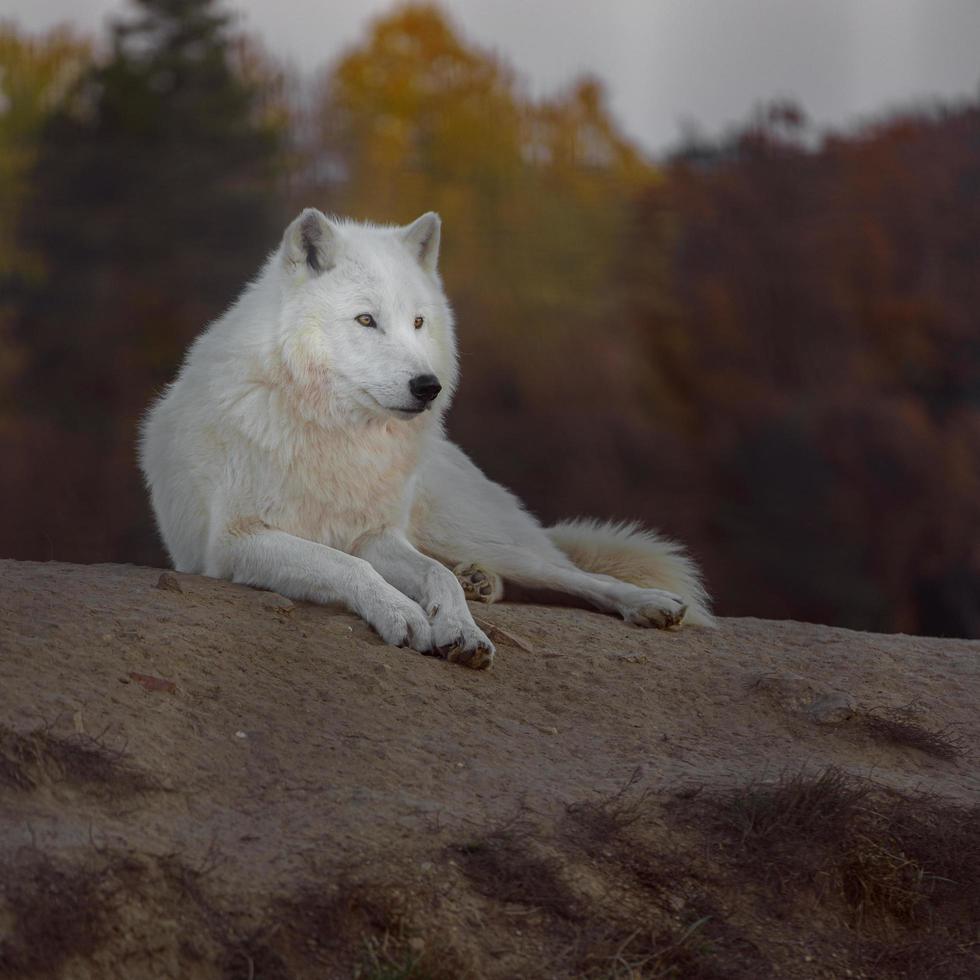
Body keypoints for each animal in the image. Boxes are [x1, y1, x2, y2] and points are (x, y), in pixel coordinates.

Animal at [140, 206, 712, 668]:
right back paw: (483, 583)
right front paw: (405, 613)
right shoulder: (234, 543)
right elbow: (344, 563)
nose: (428, 386)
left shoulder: (377, 534)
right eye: (365, 319)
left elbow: (435, 576)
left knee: (566, 573)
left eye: (417, 322)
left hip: (478, 536)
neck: (338, 435)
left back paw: (644, 603)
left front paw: (461, 629)